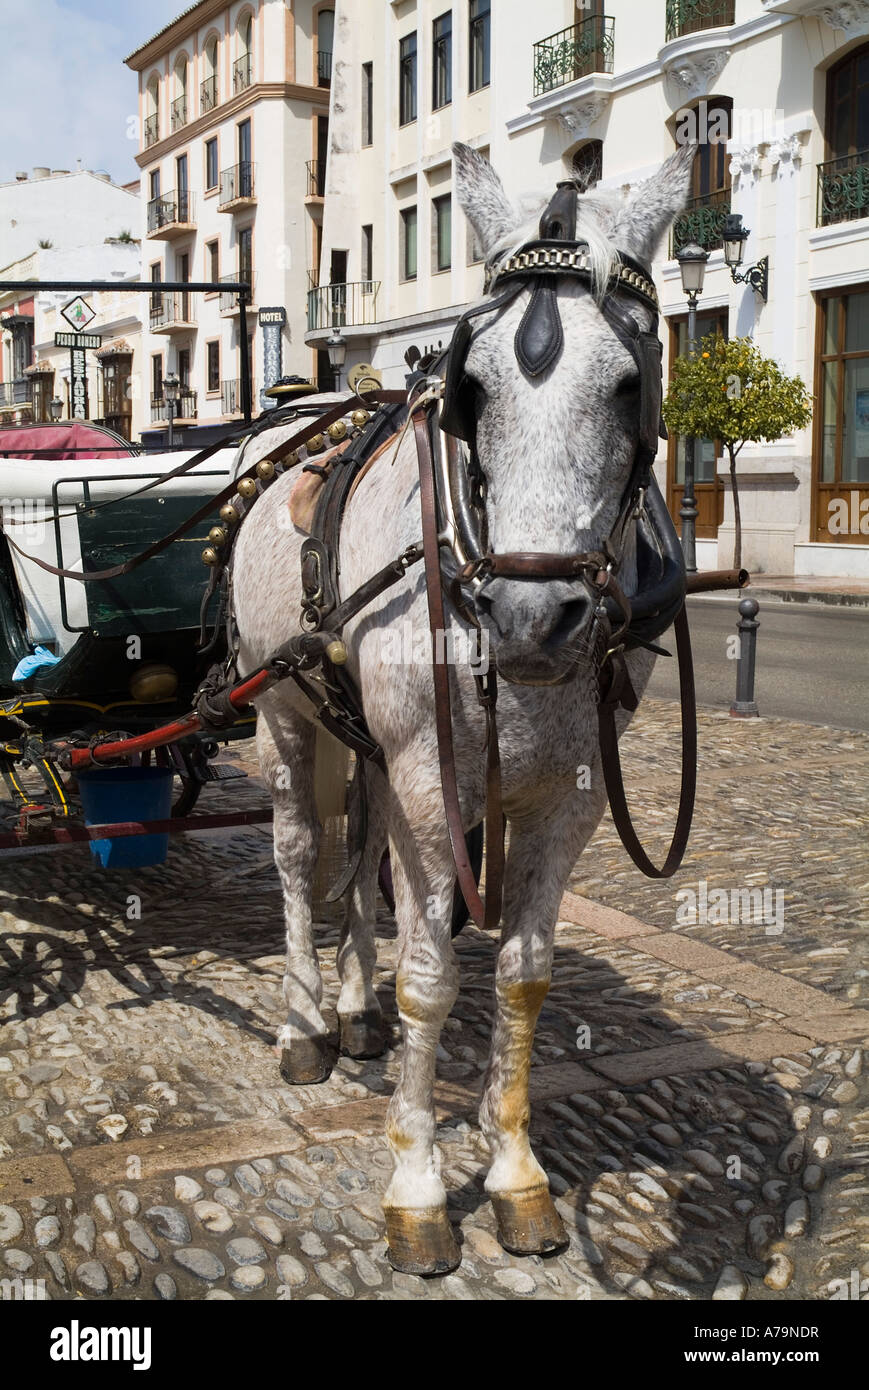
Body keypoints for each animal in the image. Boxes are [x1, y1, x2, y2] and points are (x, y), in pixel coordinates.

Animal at [233, 138, 695, 1273]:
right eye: (470, 388)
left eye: (630, 383)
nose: (533, 616)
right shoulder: (429, 782)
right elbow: (432, 978)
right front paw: (417, 1186)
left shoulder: (567, 793)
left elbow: (522, 973)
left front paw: (514, 1171)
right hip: (282, 713)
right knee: (302, 855)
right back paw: (305, 1022)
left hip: (363, 739)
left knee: (360, 848)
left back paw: (353, 1009)